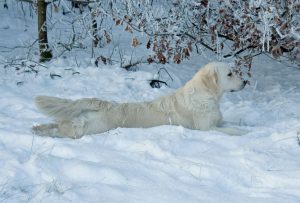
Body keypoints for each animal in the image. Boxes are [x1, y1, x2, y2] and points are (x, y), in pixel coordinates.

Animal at [32, 61, 248, 138]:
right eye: (230, 74)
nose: (245, 81)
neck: (207, 96)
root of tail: (103, 103)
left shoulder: (218, 121)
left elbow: (230, 123)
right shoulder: (206, 128)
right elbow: (231, 130)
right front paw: (242, 132)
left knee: (58, 123)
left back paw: (38, 128)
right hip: (91, 127)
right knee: (65, 128)